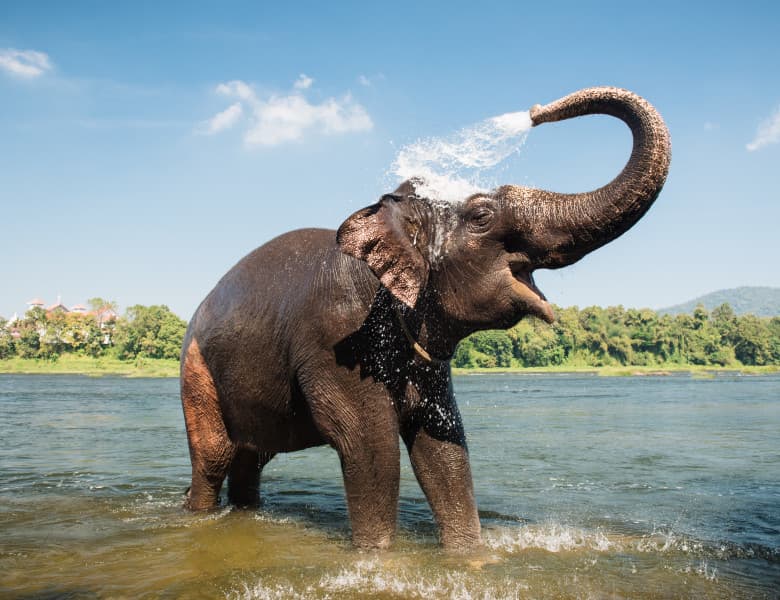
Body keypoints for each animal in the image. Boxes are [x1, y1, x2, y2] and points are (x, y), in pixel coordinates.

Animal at [180, 86, 671, 550]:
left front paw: (470, 556)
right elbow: (370, 447)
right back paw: (198, 514)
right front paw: (378, 558)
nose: (535, 111)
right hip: (196, 372)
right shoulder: (336, 339)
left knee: (251, 458)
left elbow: (442, 446)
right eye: (482, 215)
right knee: (214, 458)